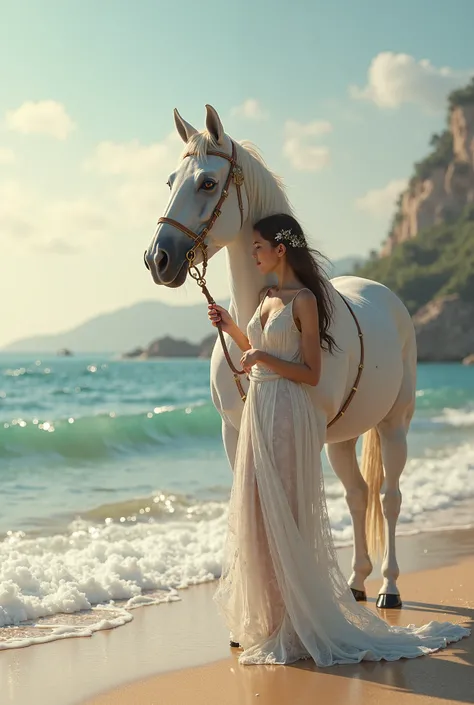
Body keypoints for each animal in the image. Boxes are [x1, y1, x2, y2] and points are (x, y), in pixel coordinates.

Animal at [144, 106, 414, 612]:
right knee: (357, 495)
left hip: (394, 424)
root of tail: (385, 295)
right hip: (343, 438)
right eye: (170, 180)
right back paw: (355, 582)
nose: (158, 259)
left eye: (208, 183)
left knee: (388, 498)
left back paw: (389, 587)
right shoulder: (234, 431)